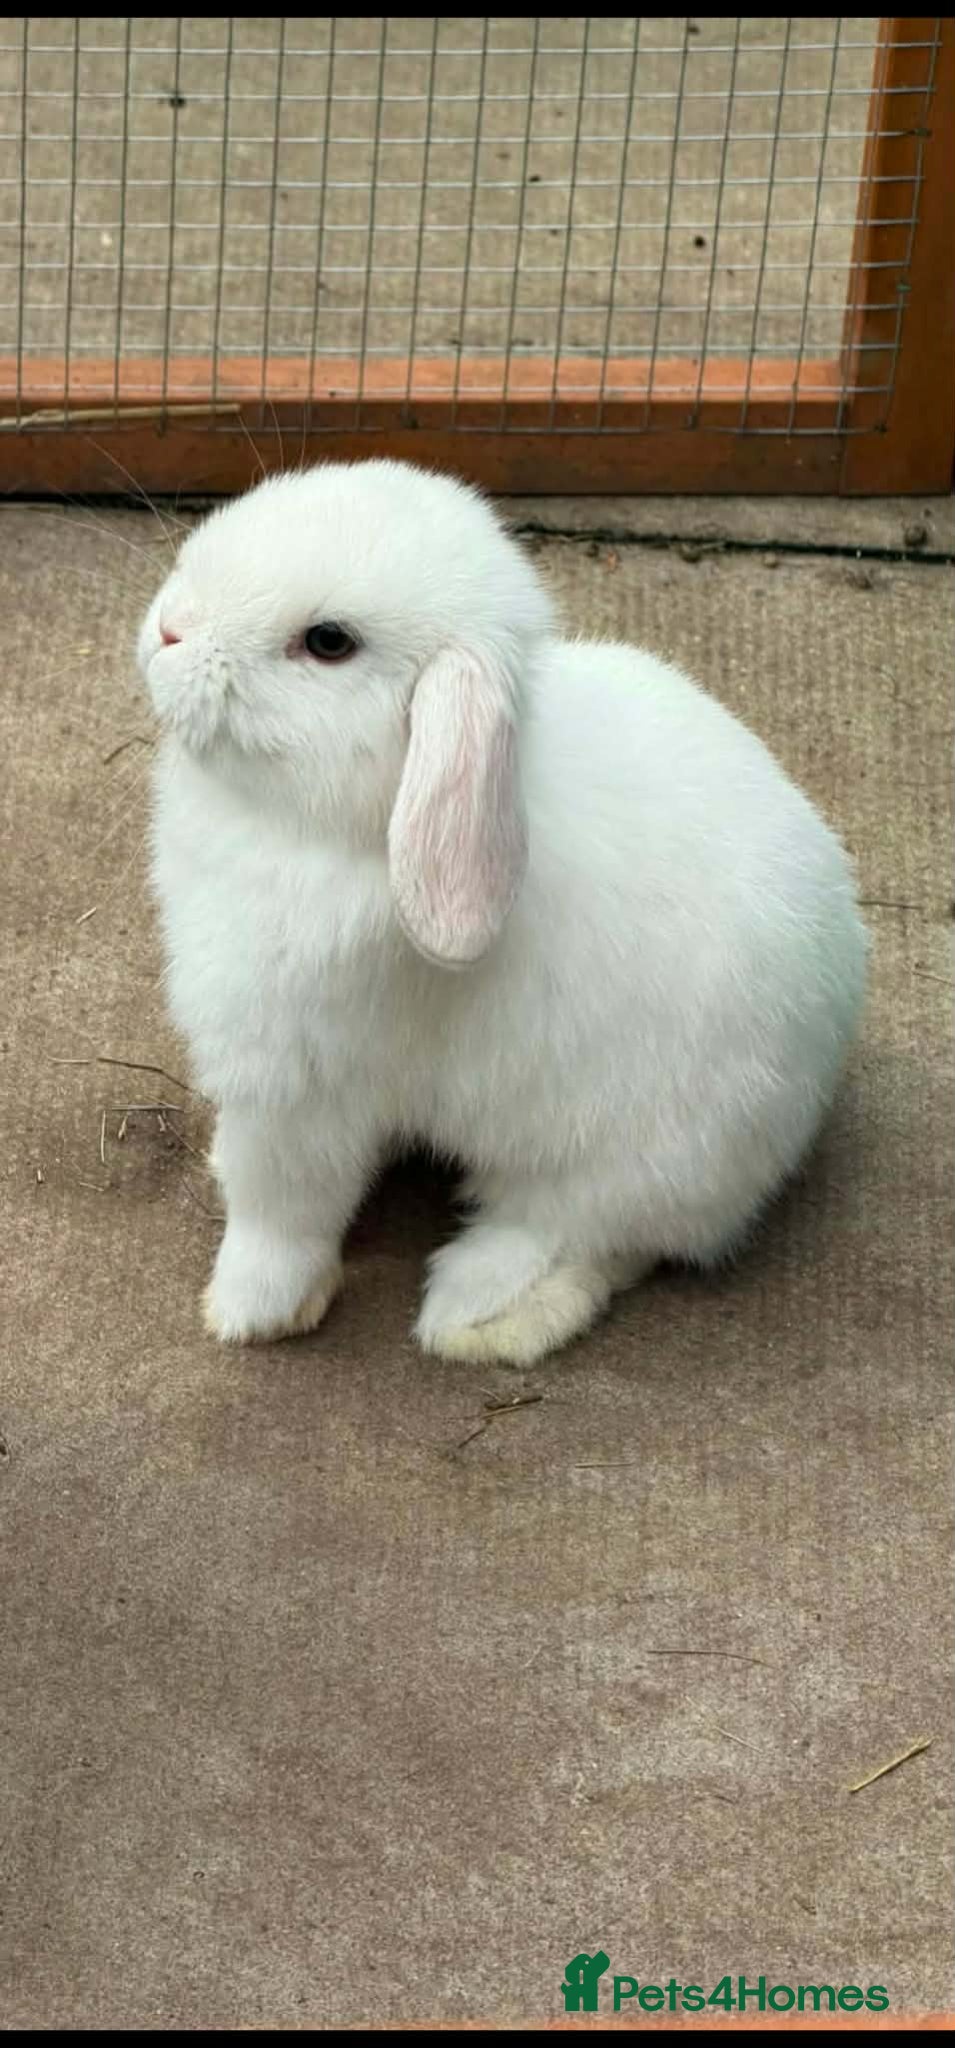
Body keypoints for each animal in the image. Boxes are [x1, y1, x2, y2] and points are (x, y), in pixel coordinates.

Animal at [137, 457, 868, 1366]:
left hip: (631, 1158)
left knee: (590, 1239)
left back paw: (477, 1313)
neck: (343, 830)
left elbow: (280, 1207)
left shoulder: (297, 1083)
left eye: (329, 642)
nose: (169, 630)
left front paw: (248, 1313)